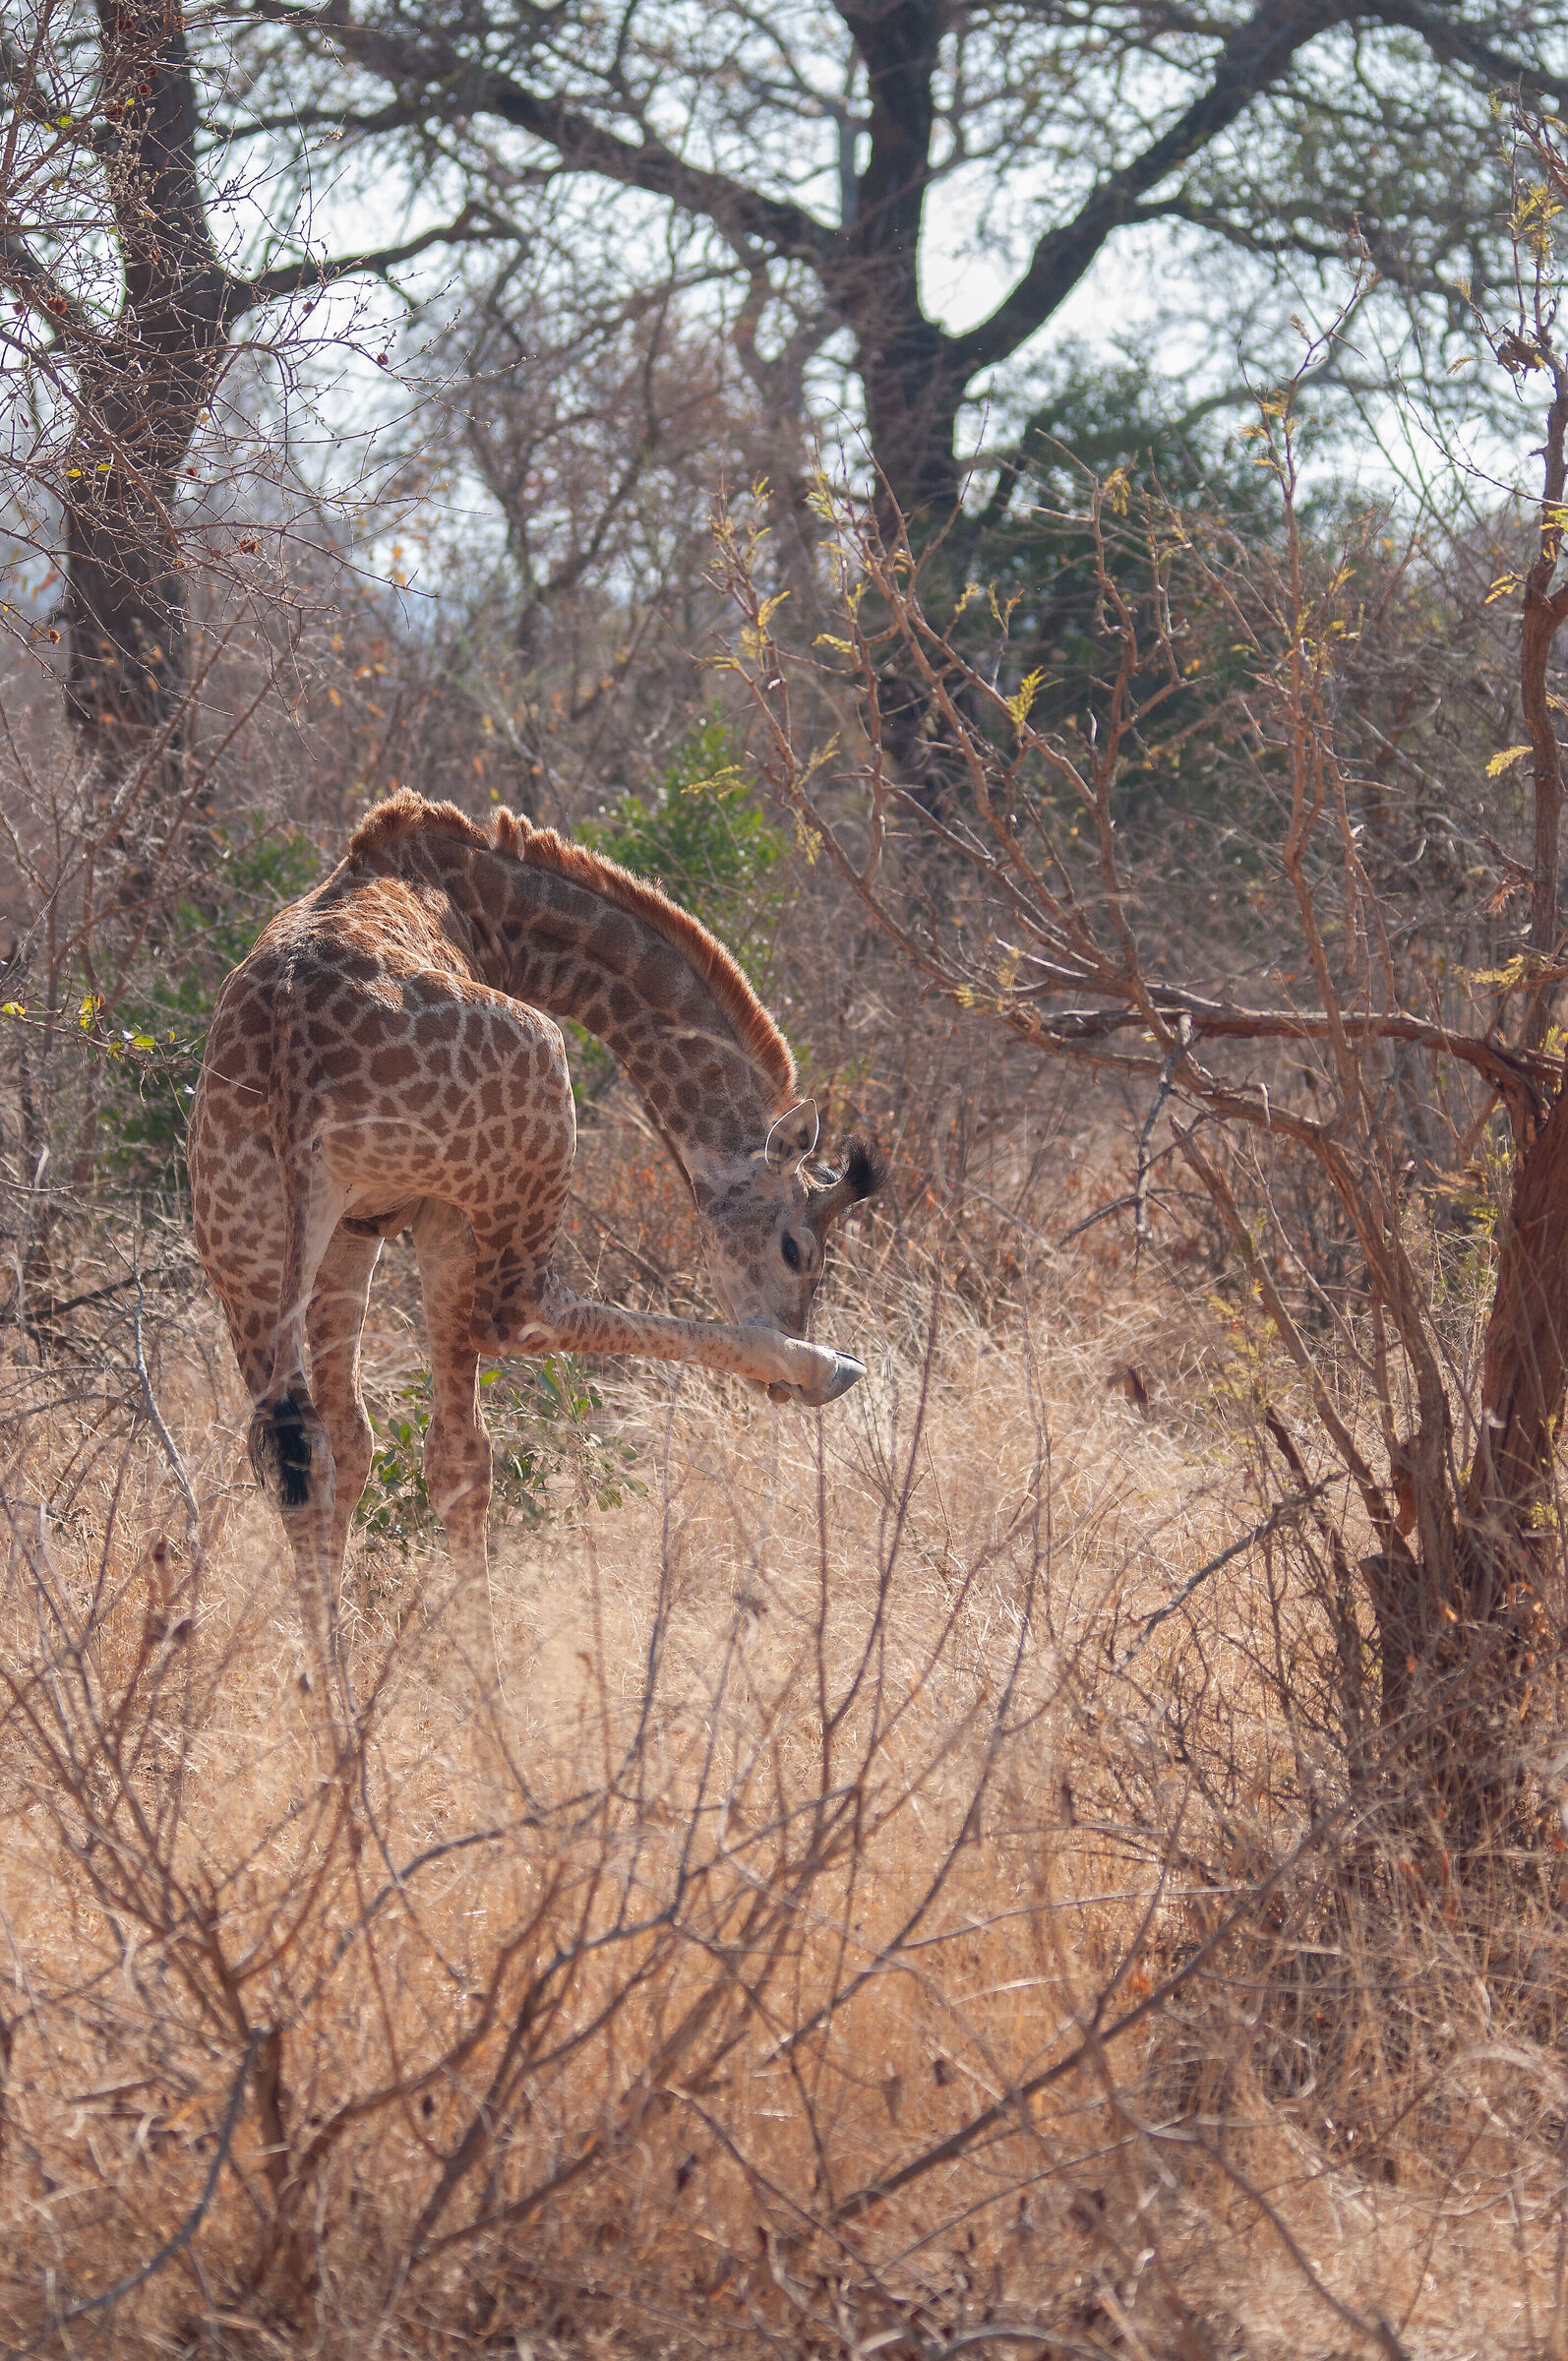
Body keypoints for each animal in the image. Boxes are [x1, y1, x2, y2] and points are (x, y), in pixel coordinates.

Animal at [188, 787, 884, 1691]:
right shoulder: (425, 1211)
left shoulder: (351, 1226)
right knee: (513, 1332)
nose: (793, 1349)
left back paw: (328, 1698)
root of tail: (291, 1068)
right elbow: (455, 1452)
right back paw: (821, 1366)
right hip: (509, 1145)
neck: (497, 911)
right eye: (798, 1249)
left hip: (244, 1242)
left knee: (296, 1452)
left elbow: (352, 1441)